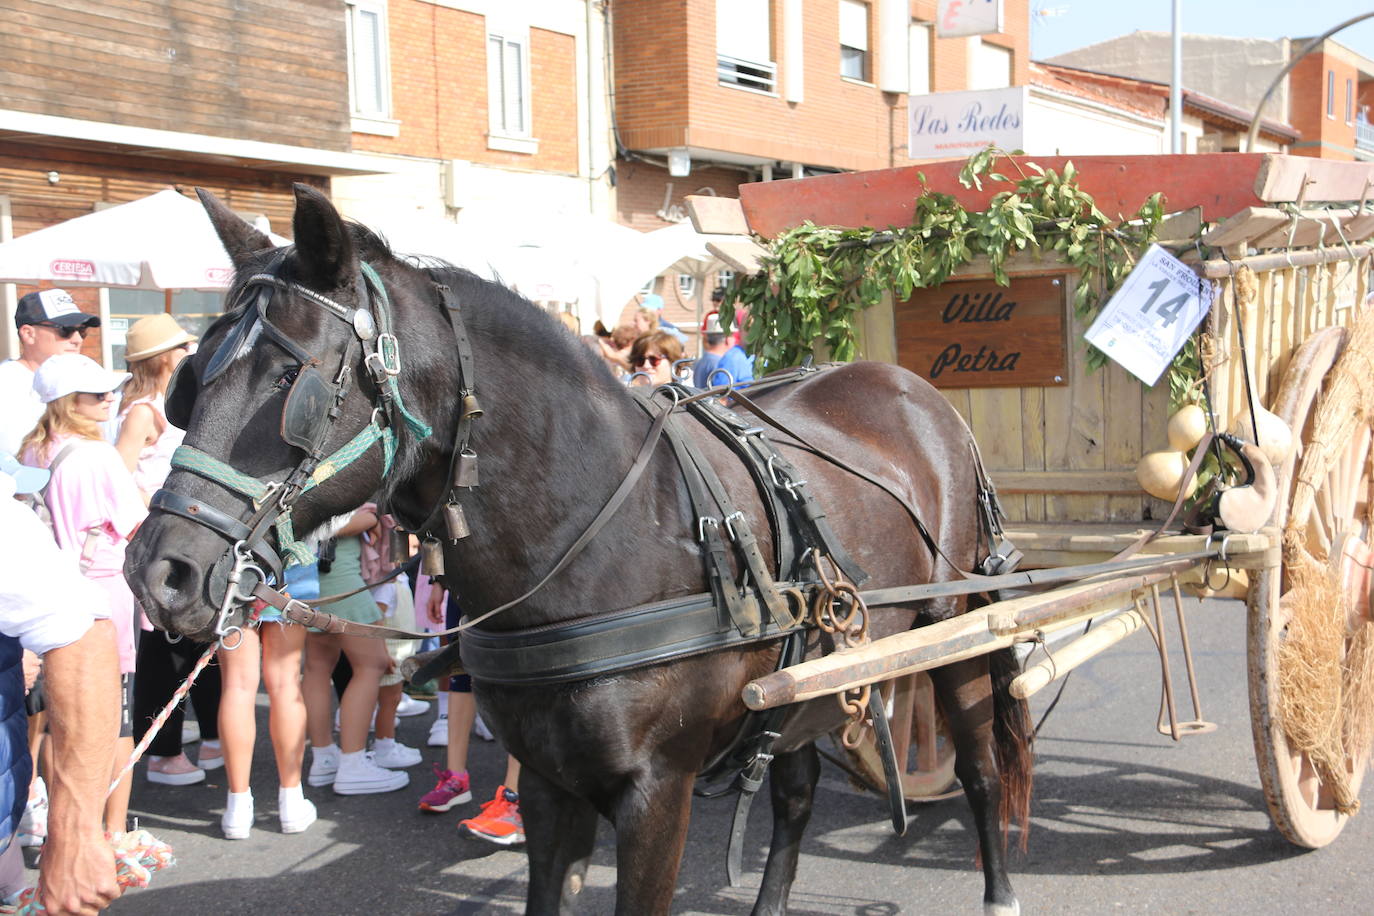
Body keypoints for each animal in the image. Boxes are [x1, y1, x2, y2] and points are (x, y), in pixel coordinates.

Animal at [126, 186, 1033, 916]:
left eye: (294, 383)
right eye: (191, 382)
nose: (158, 570)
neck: (593, 534)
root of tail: (913, 389)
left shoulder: (656, 793)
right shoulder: (550, 786)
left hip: (953, 629)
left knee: (982, 768)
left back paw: (999, 889)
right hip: (807, 675)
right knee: (797, 791)